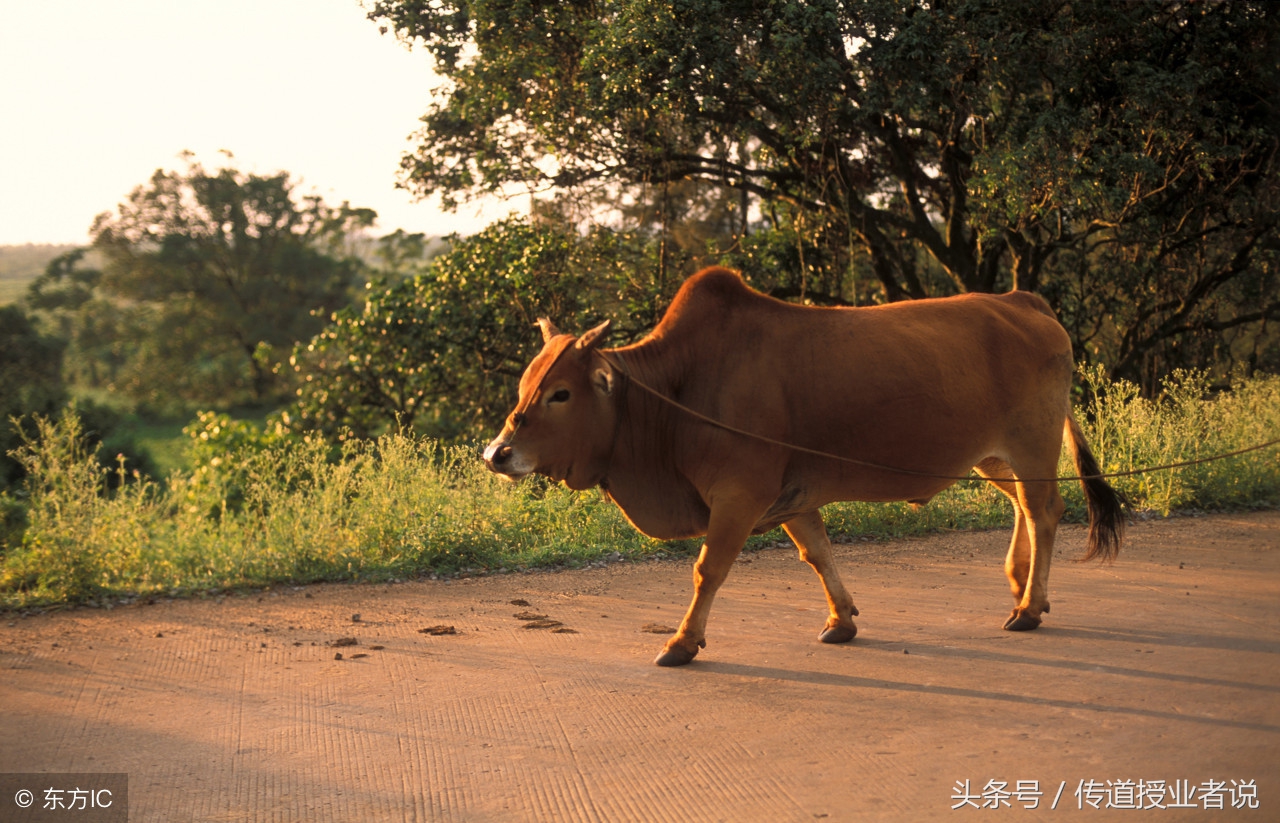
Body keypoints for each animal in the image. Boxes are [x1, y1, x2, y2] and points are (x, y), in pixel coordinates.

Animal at [483, 267, 1126, 665]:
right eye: (524, 385)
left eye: (560, 393)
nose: (497, 453)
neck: (673, 393)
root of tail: (1023, 301)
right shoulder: (789, 498)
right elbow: (817, 554)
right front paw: (842, 620)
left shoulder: (740, 495)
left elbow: (708, 570)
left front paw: (683, 642)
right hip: (992, 457)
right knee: (1025, 507)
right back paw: (1019, 584)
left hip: (1032, 445)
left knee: (1045, 511)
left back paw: (1029, 606)